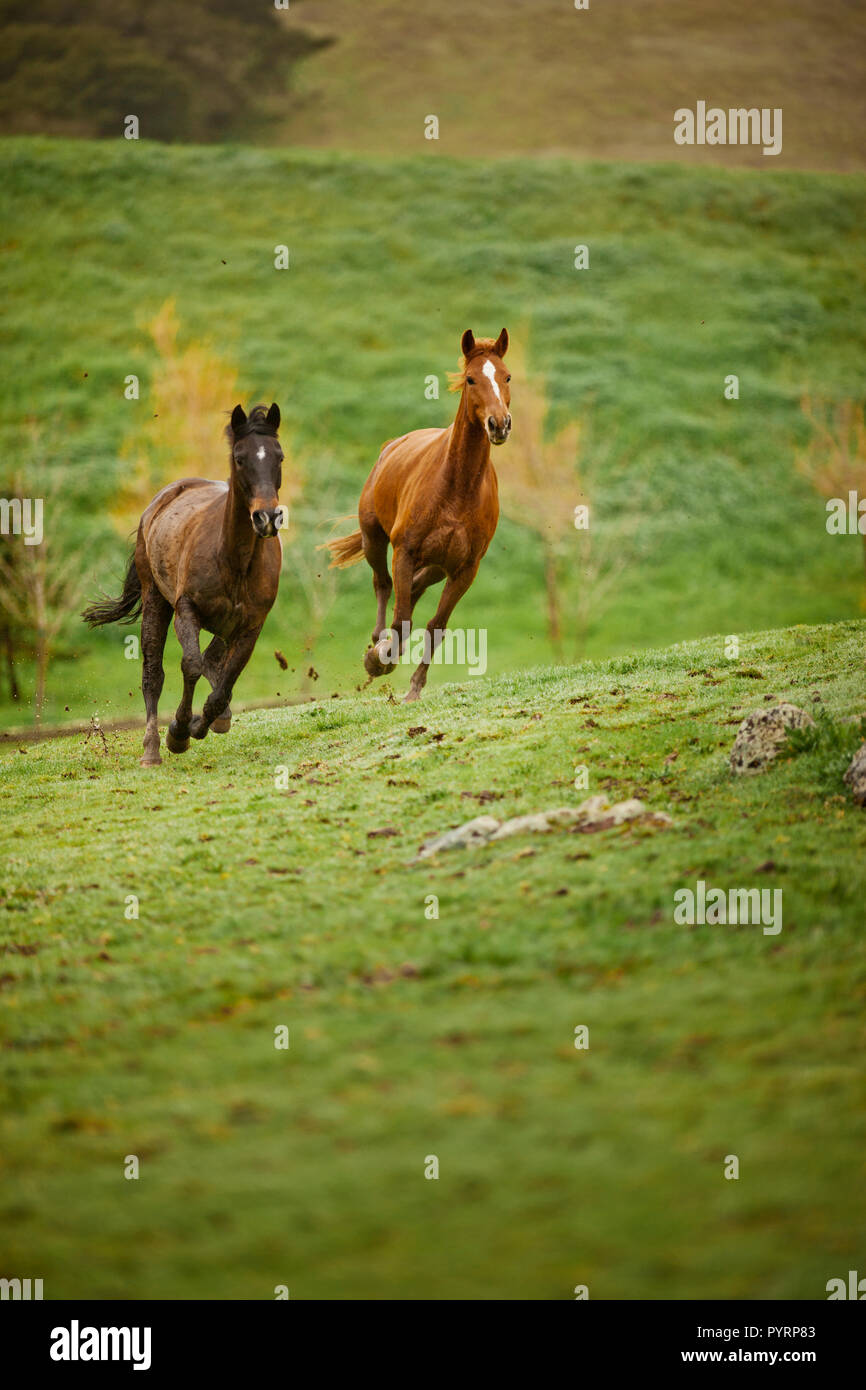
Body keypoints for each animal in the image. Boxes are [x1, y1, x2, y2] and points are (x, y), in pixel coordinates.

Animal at [84, 403, 283, 772]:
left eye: (279, 456)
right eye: (239, 458)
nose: (266, 518)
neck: (233, 558)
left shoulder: (250, 626)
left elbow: (223, 685)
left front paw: (201, 723)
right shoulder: (186, 609)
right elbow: (190, 665)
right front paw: (177, 732)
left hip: (224, 625)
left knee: (213, 661)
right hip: (156, 600)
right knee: (153, 674)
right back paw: (151, 750)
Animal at [328, 329, 511, 700]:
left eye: (507, 377)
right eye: (471, 379)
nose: (499, 424)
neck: (458, 487)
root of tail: (393, 444)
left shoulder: (464, 569)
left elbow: (435, 626)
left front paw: (414, 687)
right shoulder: (405, 551)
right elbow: (401, 618)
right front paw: (378, 659)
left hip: (437, 566)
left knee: (412, 591)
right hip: (374, 538)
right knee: (384, 585)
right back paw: (378, 643)